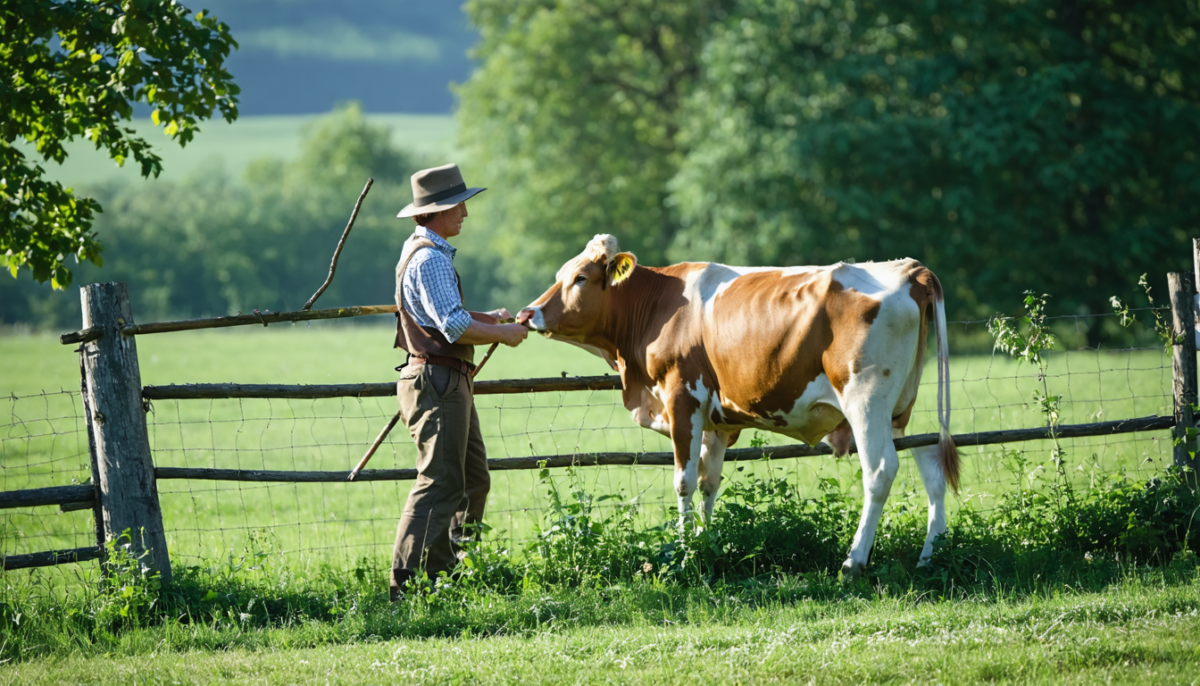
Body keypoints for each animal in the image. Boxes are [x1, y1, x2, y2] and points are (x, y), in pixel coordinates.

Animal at [517, 234, 959, 577]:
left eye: (580, 278)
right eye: (560, 275)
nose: (525, 313)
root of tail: (907, 269)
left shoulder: (682, 401)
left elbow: (683, 481)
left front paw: (684, 554)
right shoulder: (716, 421)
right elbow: (709, 482)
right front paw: (704, 543)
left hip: (866, 401)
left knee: (880, 470)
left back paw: (853, 562)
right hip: (899, 408)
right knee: (930, 462)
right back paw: (929, 556)